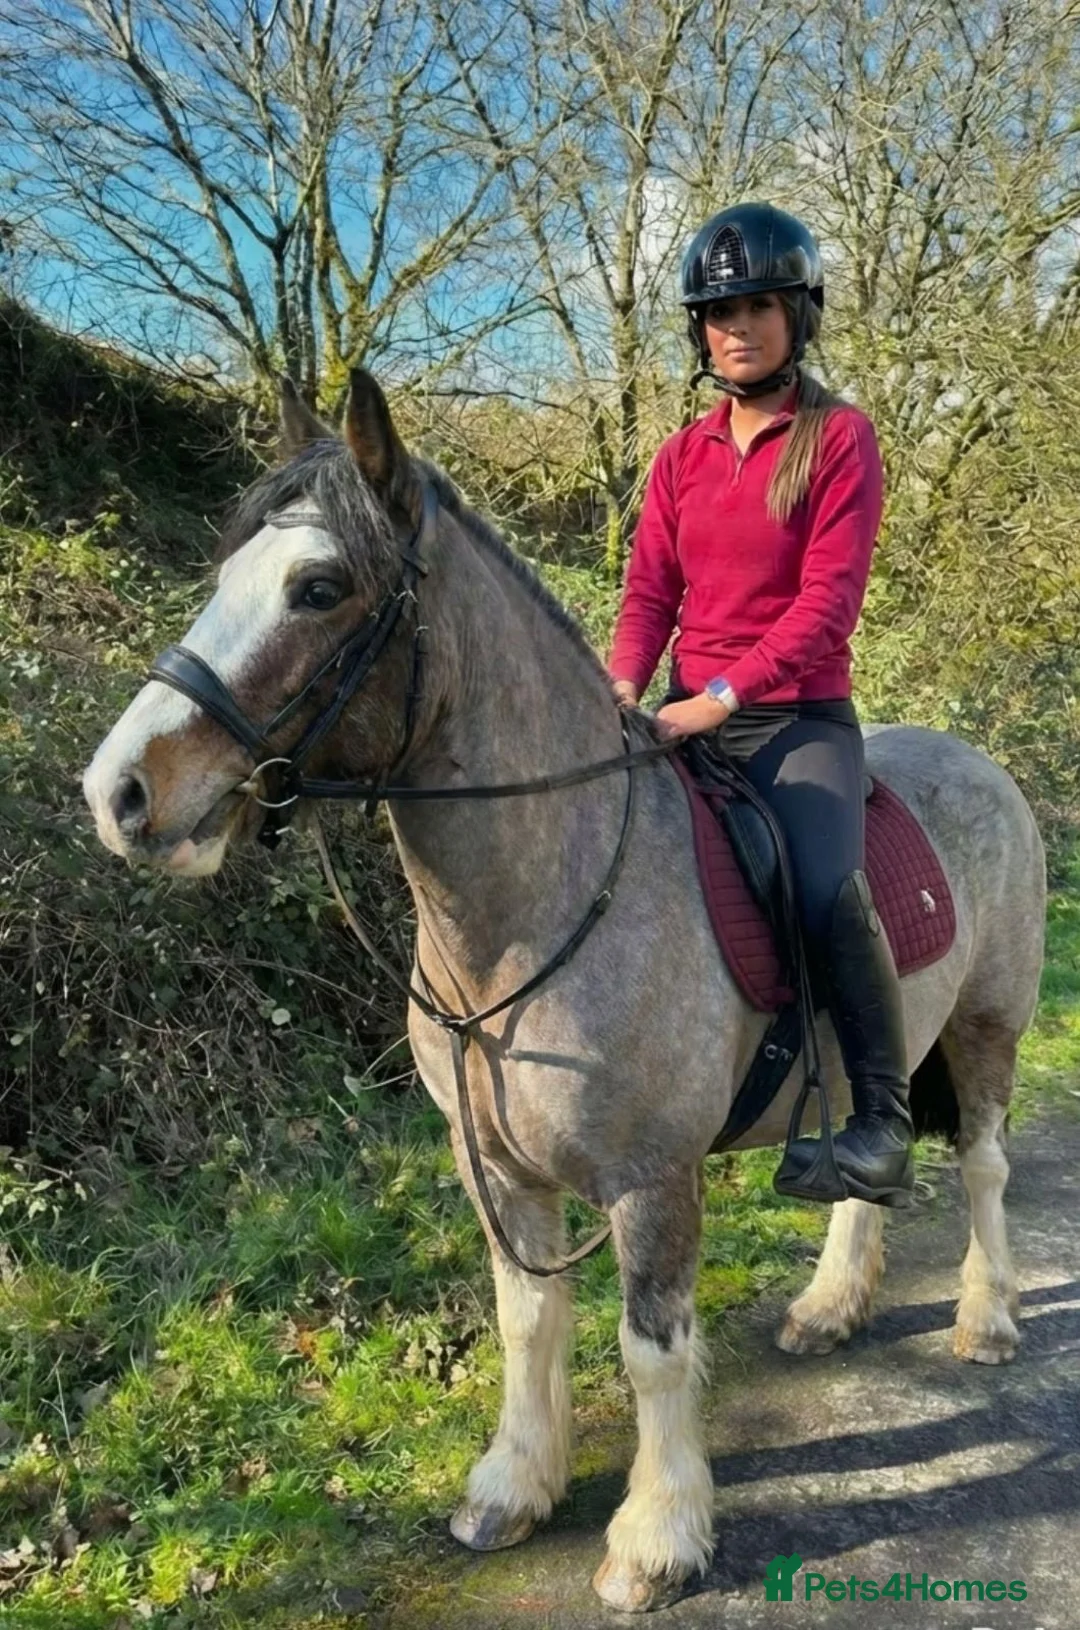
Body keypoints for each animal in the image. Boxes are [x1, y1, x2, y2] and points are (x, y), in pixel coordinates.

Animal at [82, 372, 1046, 1614]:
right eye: (221, 575)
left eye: (318, 587)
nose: (117, 791)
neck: (530, 913)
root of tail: (984, 765)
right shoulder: (494, 1170)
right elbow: (526, 1318)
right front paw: (513, 1485)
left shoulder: (650, 1179)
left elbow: (652, 1346)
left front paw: (657, 1537)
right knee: (859, 1178)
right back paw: (830, 1306)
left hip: (987, 1029)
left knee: (982, 1165)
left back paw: (988, 1318)